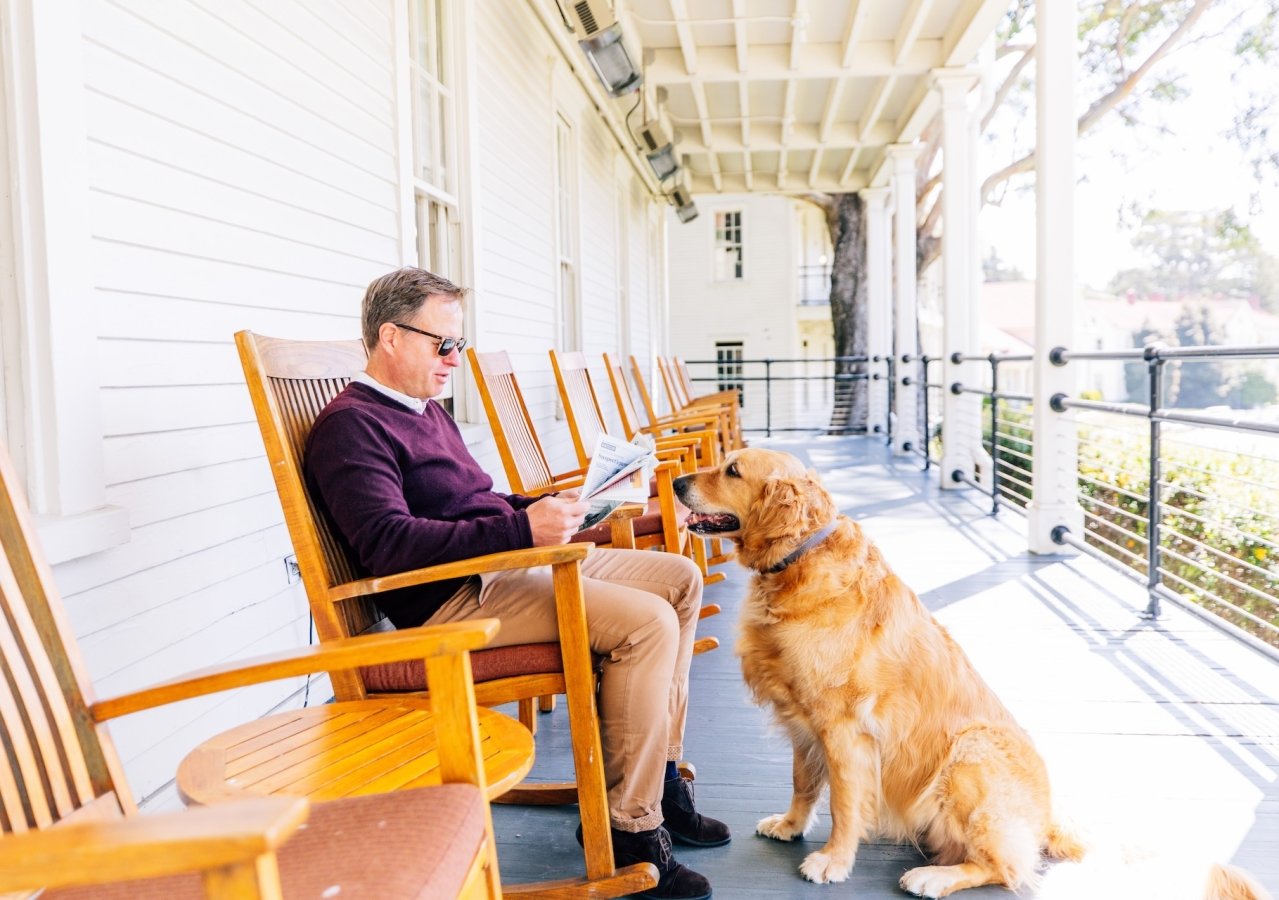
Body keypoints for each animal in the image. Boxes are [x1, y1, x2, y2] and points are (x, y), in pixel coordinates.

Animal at [675, 450, 1263, 900]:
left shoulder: (845, 730)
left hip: (969, 753)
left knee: (1005, 867)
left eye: (731, 471)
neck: (799, 562)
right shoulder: (803, 721)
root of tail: (1047, 813)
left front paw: (833, 861)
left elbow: (843, 802)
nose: (676, 480)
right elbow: (803, 783)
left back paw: (932, 877)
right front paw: (791, 825)